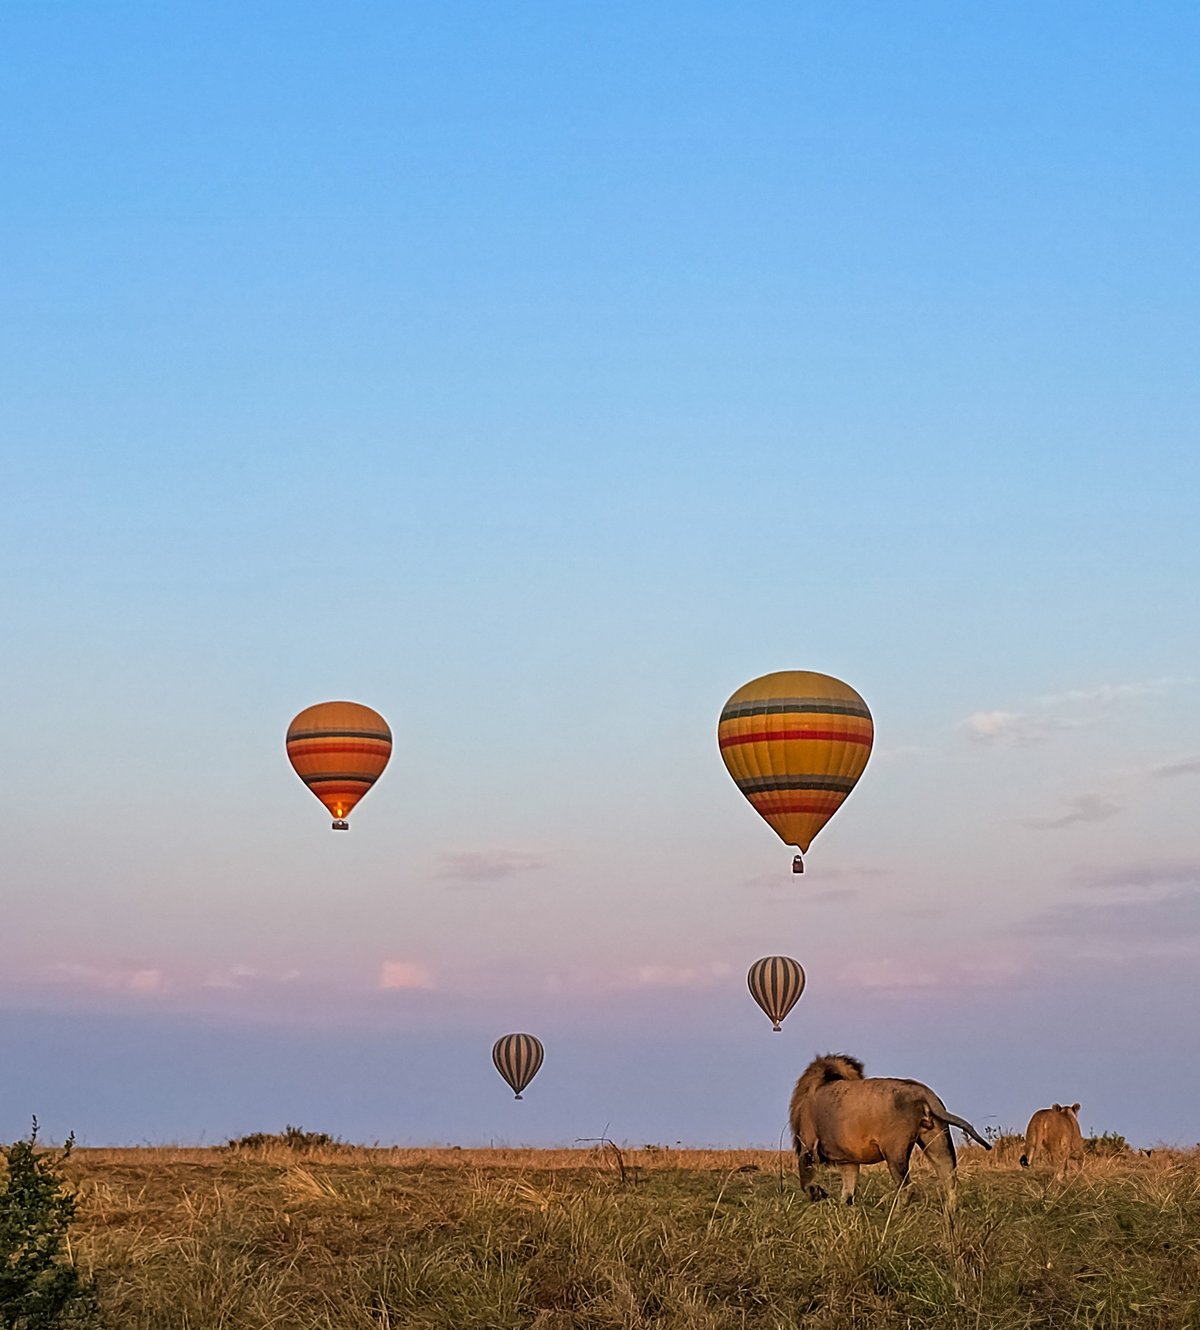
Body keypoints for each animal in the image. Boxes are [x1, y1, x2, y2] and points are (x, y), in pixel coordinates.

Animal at [788, 1053, 991, 1206]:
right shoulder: (848, 1160)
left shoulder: (808, 1145)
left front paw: (817, 1194)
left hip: (894, 1151)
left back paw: (896, 1215)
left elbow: (805, 1179)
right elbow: (848, 1191)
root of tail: (924, 1092)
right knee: (950, 1181)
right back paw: (951, 1215)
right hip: (937, 1140)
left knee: (908, 1188)